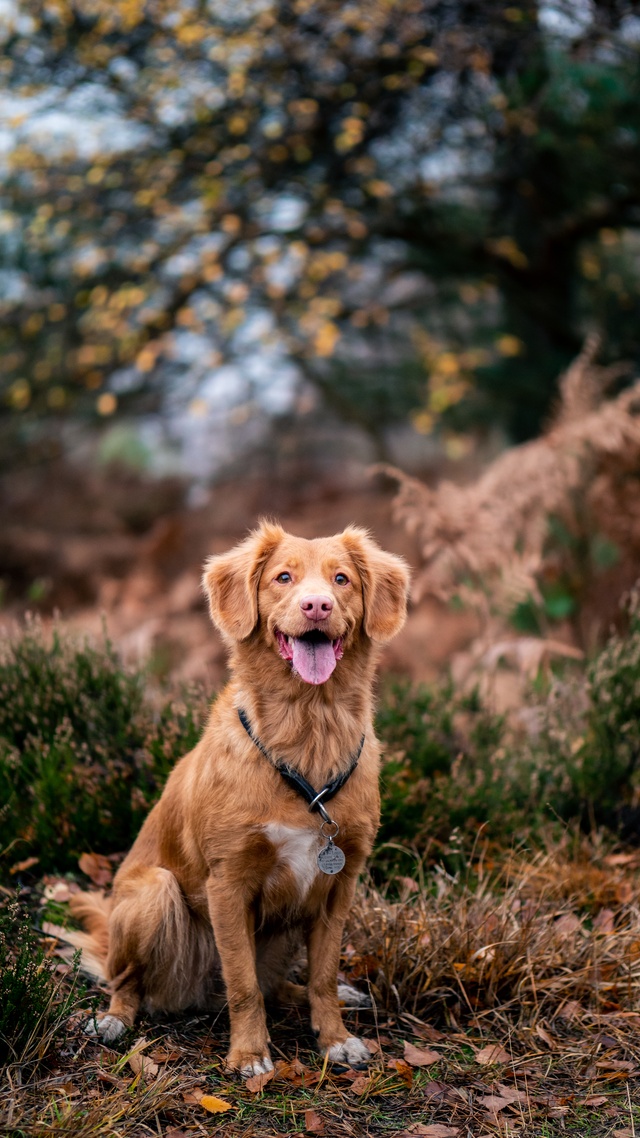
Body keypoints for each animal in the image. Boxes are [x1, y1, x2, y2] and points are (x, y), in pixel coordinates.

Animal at [69, 521, 407, 1069]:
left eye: (341, 579)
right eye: (283, 577)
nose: (317, 605)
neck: (309, 725)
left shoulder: (340, 884)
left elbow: (321, 976)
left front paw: (334, 1038)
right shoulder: (228, 882)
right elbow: (243, 985)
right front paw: (249, 1054)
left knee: (280, 986)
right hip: (154, 894)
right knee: (130, 982)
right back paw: (115, 1020)